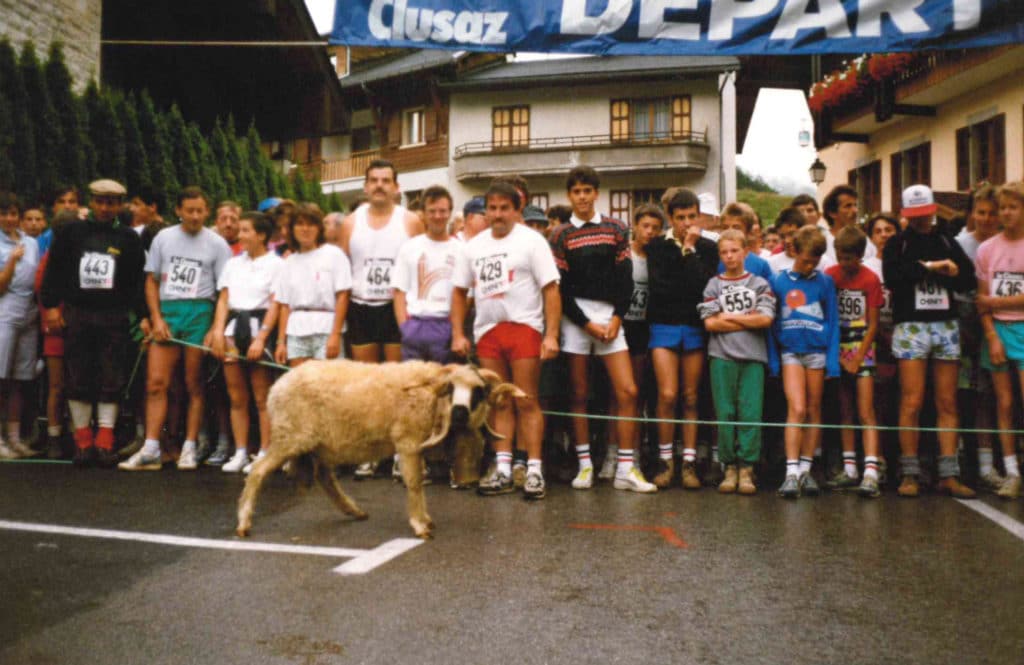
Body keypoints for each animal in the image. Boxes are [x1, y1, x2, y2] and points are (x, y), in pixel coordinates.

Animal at [235, 360, 524, 536]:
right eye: (450, 388)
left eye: (479, 391)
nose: (460, 412)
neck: (429, 400)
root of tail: (277, 386)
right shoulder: (408, 442)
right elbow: (414, 483)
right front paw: (420, 525)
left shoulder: (415, 446)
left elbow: (417, 482)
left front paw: (425, 519)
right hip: (291, 437)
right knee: (258, 471)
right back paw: (244, 522)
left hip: (321, 443)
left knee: (325, 478)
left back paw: (354, 511)